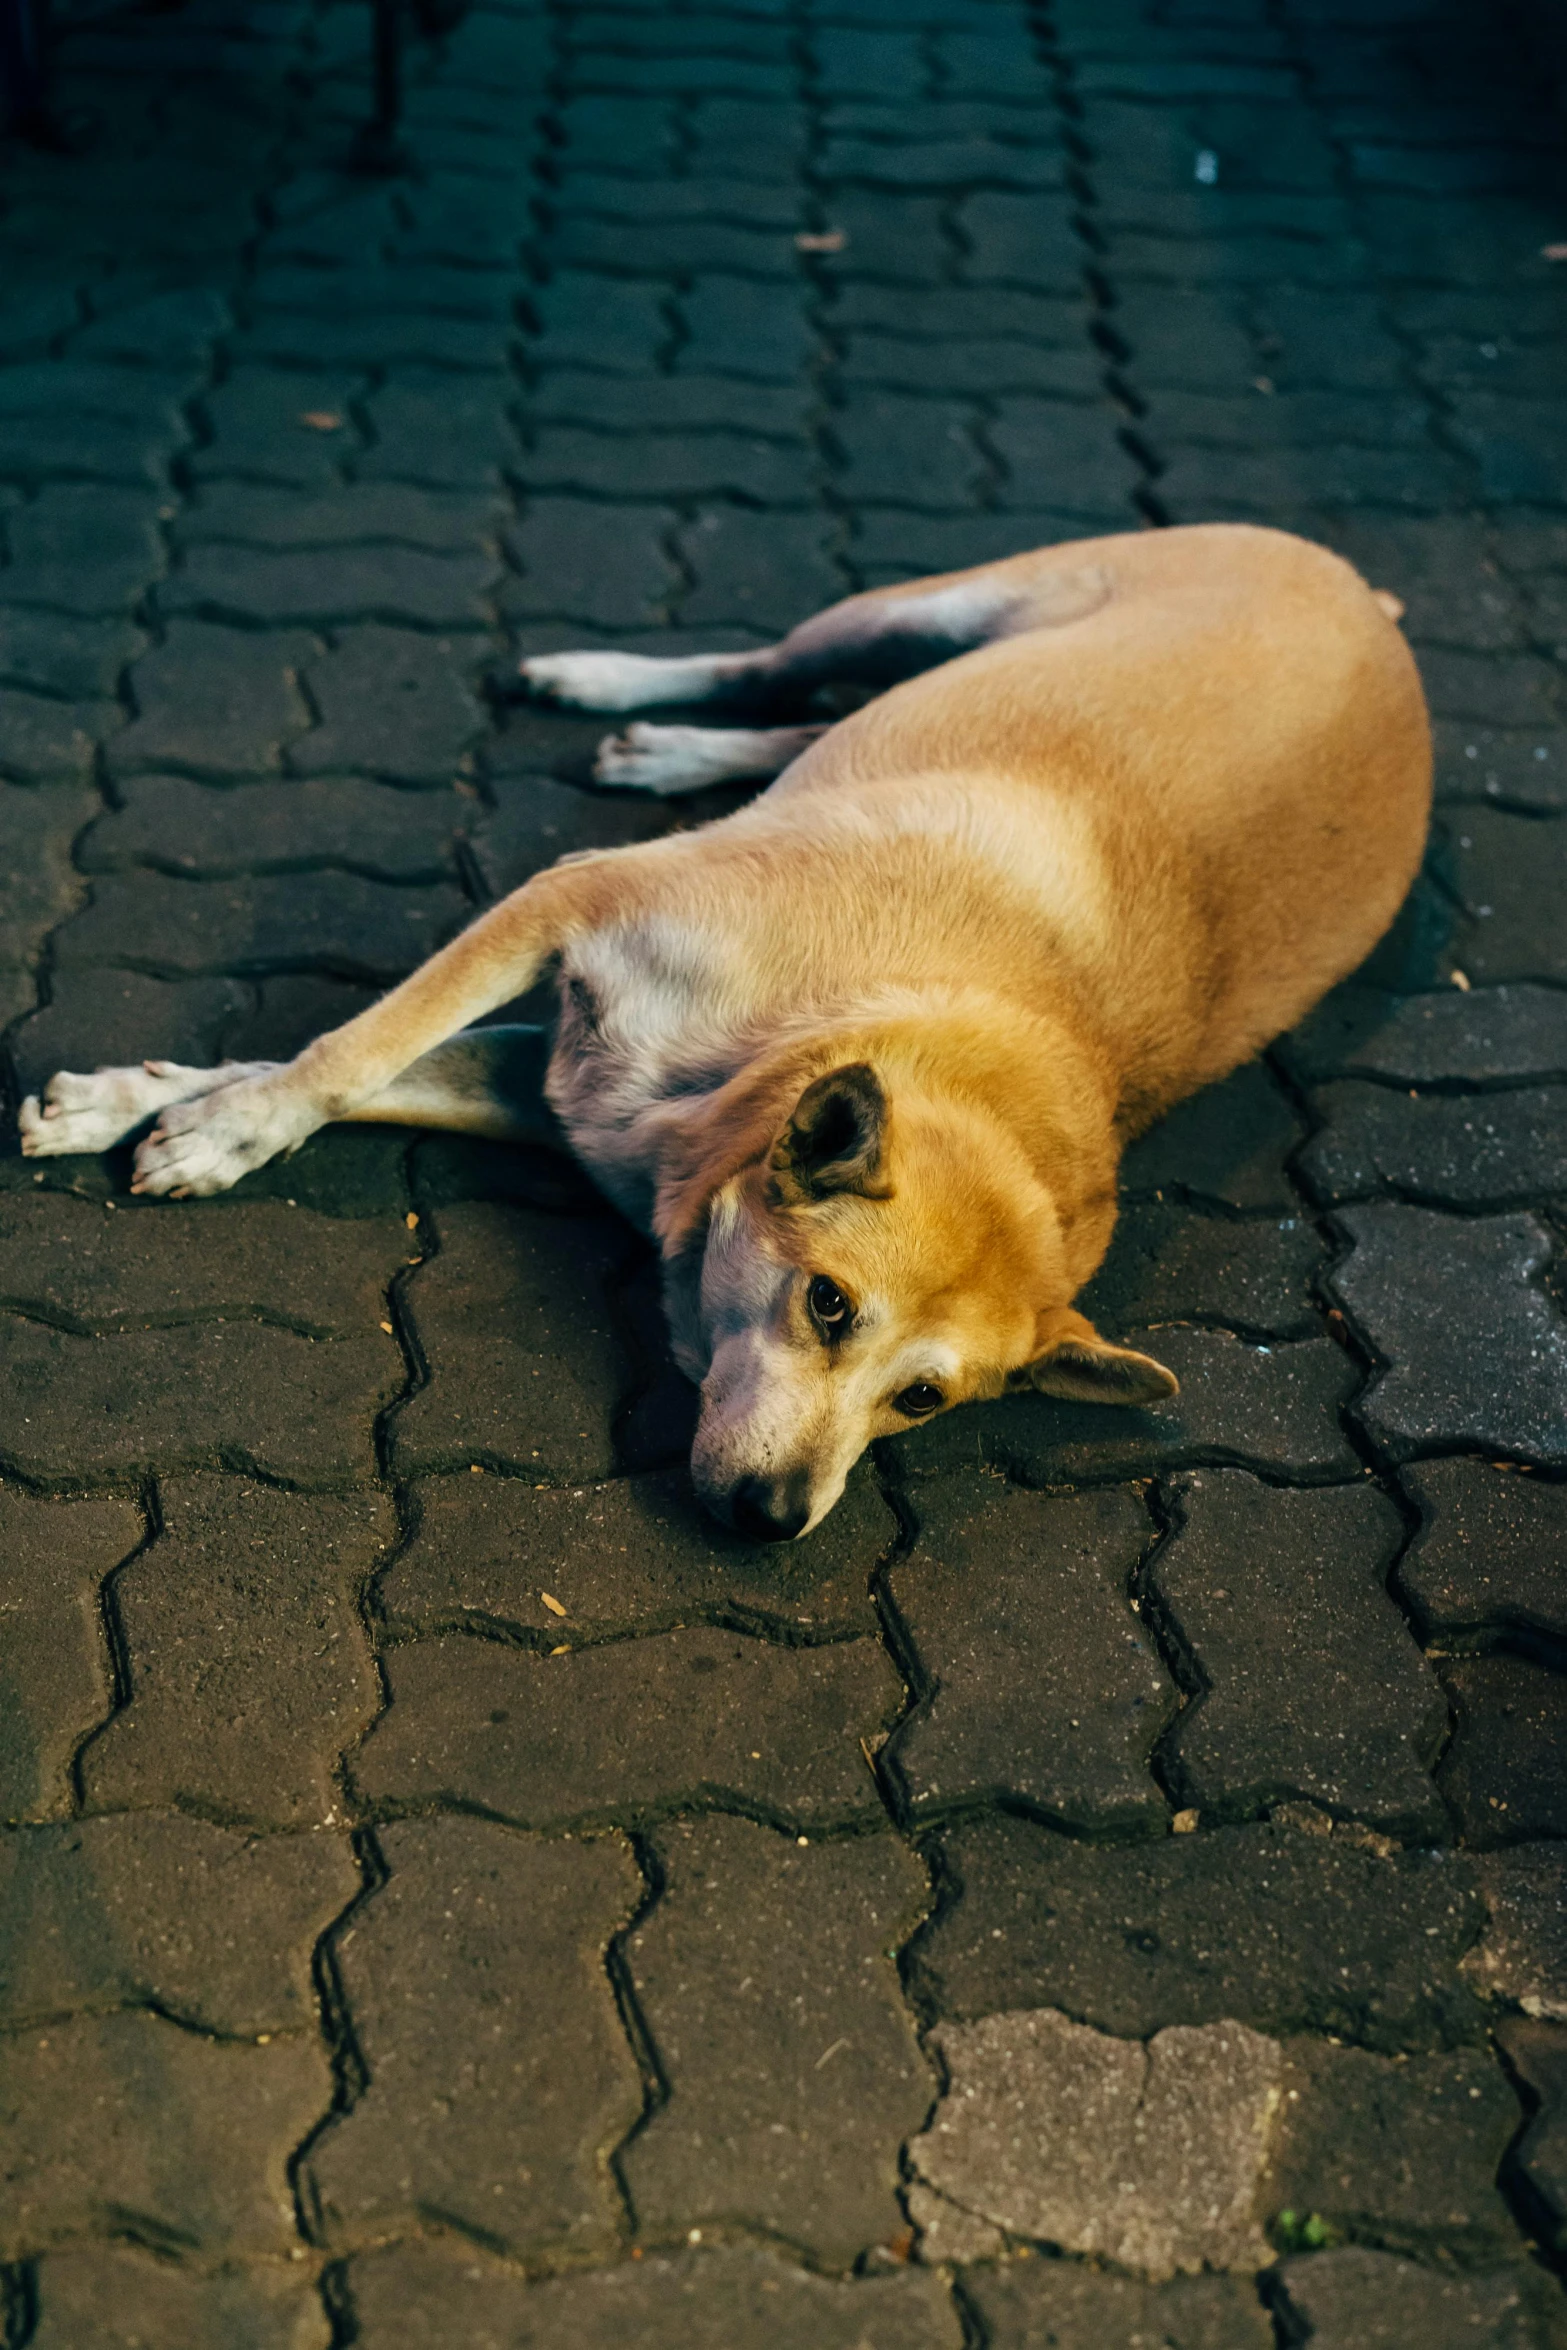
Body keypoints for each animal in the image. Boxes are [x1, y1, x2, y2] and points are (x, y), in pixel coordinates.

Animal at [18, 524, 1428, 1532]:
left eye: (923, 1399)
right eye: (828, 1305)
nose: (768, 1518)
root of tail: (1375, 605)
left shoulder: (577, 1096)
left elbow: (371, 1064)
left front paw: (161, 1105)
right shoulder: (572, 907)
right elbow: (345, 1051)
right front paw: (201, 1118)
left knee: (809, 714)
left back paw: (675, 753)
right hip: (927, 604)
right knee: (775, 666)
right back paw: (610, 683)